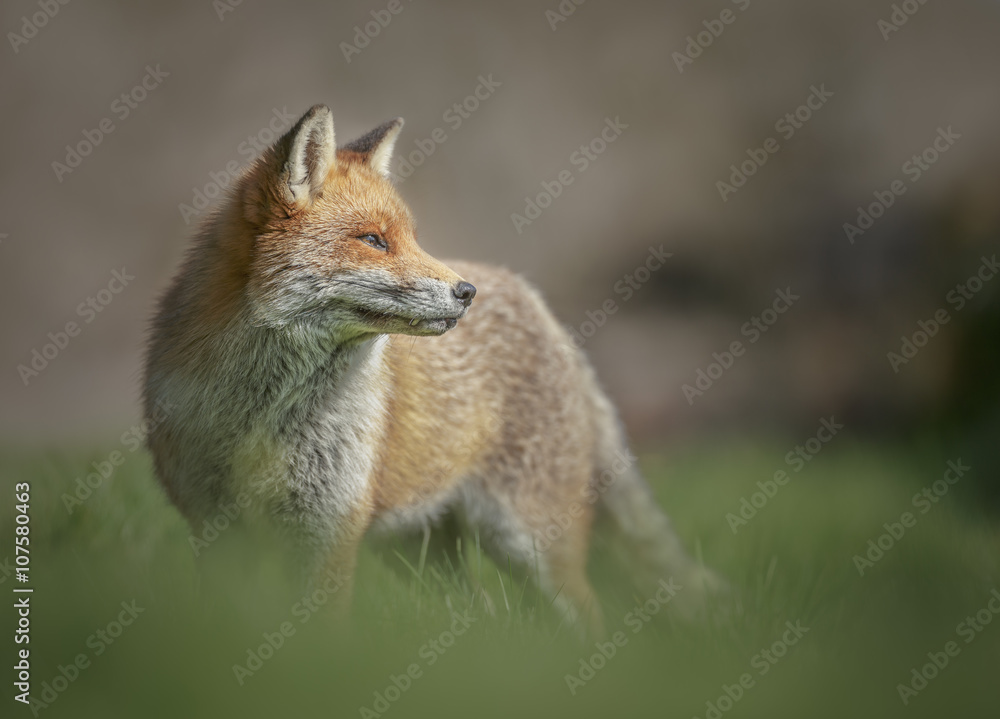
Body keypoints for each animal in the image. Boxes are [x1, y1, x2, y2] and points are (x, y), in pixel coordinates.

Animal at [143, 105, 725, 635]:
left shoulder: (330, 528)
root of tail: (537, 303)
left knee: (588, 614)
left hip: (526, 542)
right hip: (417, 553)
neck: (263, 417)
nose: (467, 292)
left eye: (412, 237)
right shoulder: (213, 529)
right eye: (374, 240)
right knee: (481, 610)